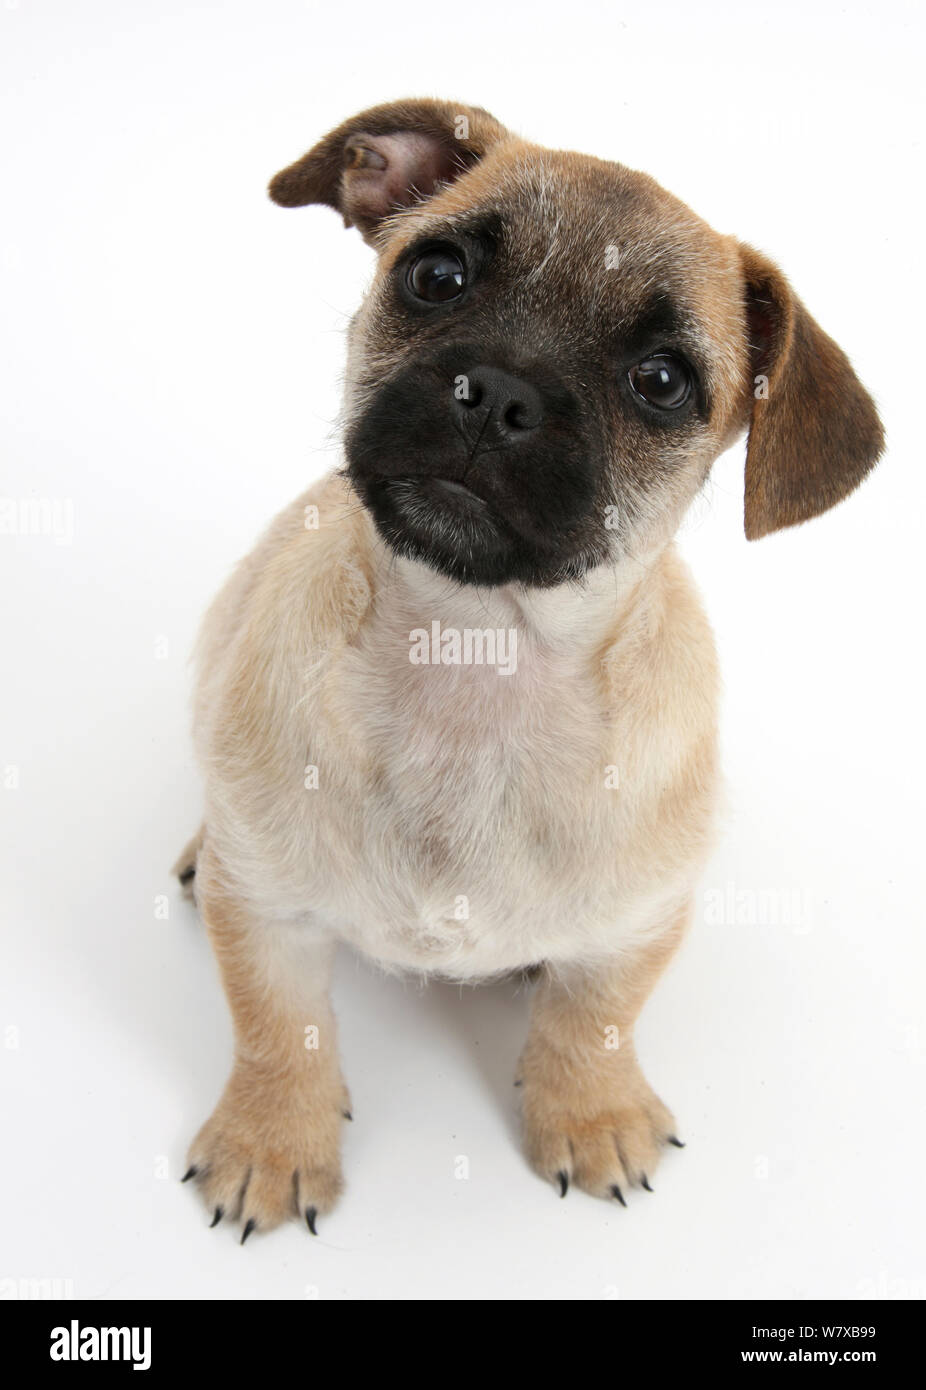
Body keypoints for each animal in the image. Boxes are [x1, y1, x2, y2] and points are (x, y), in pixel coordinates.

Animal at [173, 102, 878, 1245]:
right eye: (437, 274)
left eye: (661, 383)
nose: (494, 393)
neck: (475, 659)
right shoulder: (270, 919)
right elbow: (279, 1029)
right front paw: (272, 1140)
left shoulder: (638, 925)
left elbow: (592, 1022)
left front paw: (590, 1115)